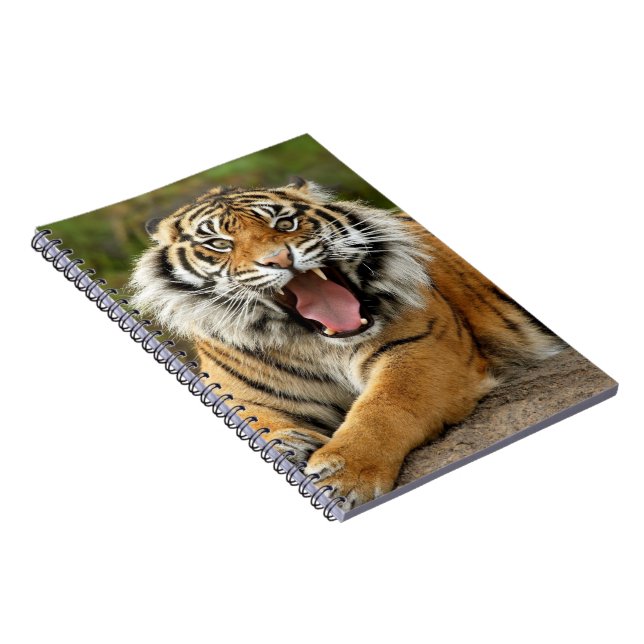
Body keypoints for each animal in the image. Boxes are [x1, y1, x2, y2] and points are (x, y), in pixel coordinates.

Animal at [129, 178, 562, 510]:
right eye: (219, 244)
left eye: (285, 222)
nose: (279, 258)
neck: (317, 342)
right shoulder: (244, 396)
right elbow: (263, 424)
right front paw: (290, 445)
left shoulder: (422, 346)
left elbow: (384, 408)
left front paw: (344, 478)